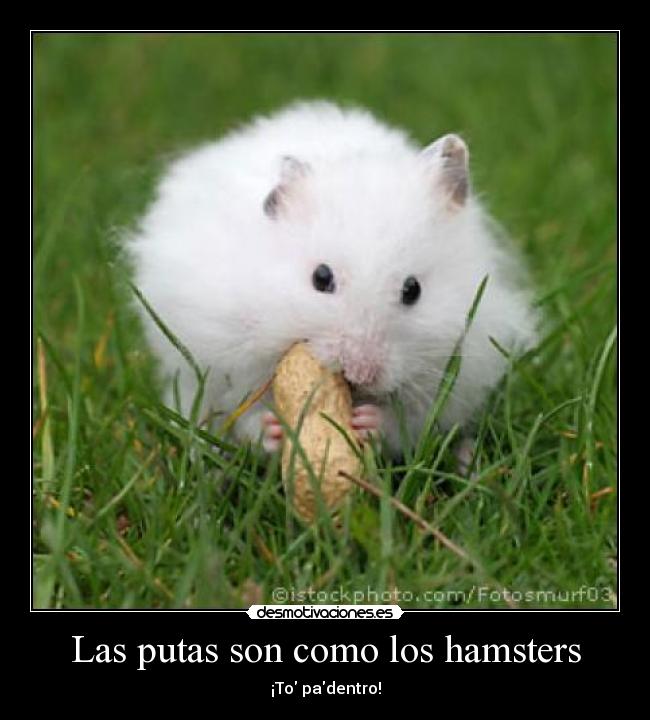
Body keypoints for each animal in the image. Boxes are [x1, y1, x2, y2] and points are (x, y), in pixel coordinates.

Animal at [129, 101, 537, 460]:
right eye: (320, 278)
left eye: (413, 290)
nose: (361, 373)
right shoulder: (222, 357)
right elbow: (242, 412)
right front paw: (274, 429)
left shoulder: (457, 376)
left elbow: (410, 423)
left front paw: (367, 421)